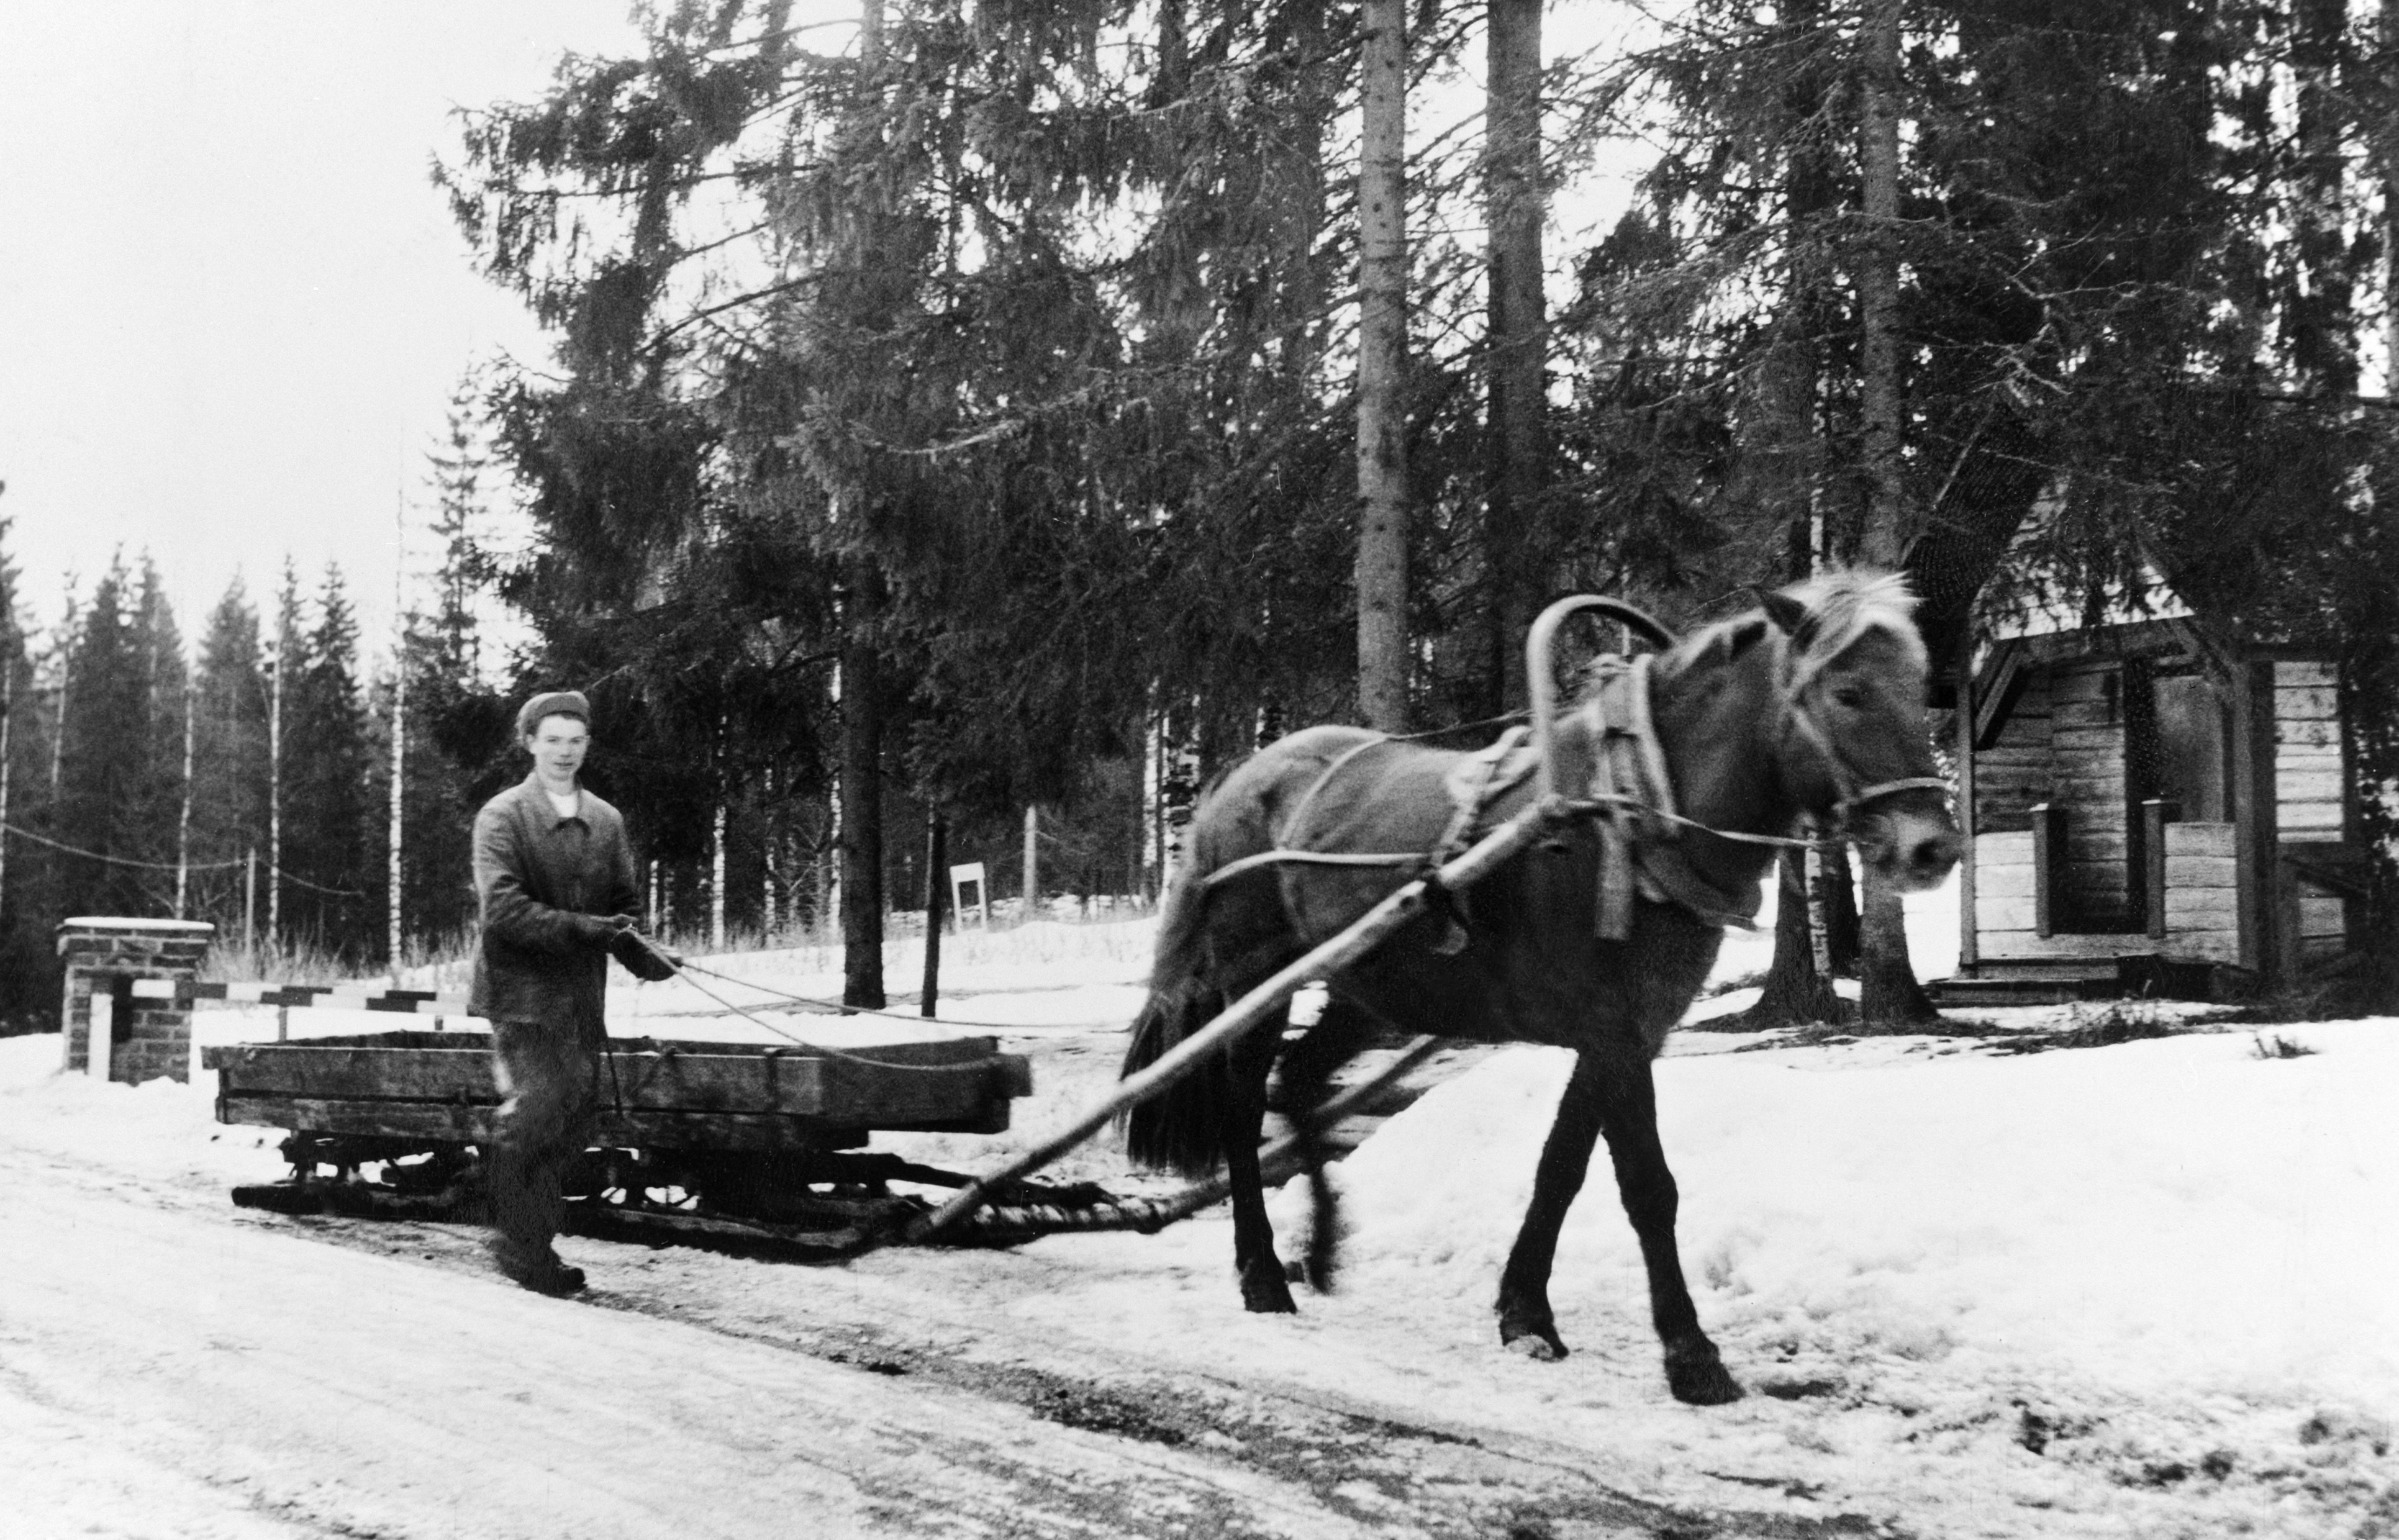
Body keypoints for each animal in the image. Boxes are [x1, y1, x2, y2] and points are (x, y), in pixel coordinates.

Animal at [1113, 566, 1957, 1400]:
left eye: (1919, 688)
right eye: (1847, 692)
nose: (1932, 848)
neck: (1632, 809)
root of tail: (1235, 786)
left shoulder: (1624, 1030)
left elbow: (1560, 1169)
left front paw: (1524, 1311)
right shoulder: (1613, 1031)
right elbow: (1646, 1187)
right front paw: (1690, 1353)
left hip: (1375, 989)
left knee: (1296, 1081)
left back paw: (1320, 1250)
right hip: (1256, 976)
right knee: (1242, 1104)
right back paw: (1262, 1272)